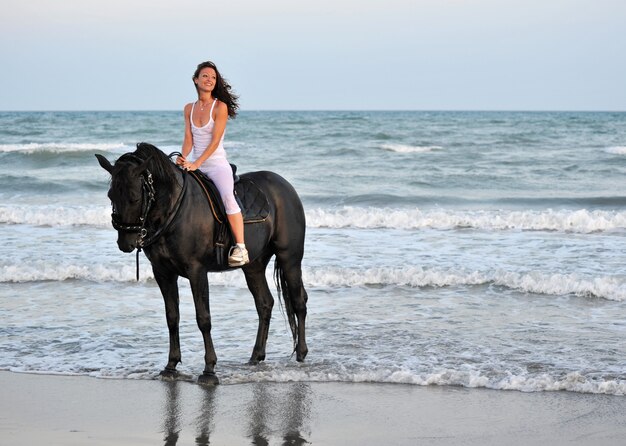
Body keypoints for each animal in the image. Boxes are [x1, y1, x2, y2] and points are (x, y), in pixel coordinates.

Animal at [95, 143, 308, 384]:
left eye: (133, 197)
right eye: (111, 195)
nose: (125, 242)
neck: (174, 209)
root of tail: (285, 187)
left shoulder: (197, 271)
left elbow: (203, 318)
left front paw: (209, 369)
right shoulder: (163, 273)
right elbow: (172, 317)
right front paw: (171, 366)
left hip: (290, 258)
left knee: (299, 301)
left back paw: (301, 354)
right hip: (253, 266)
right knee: (264, 304)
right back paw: (256, 356)